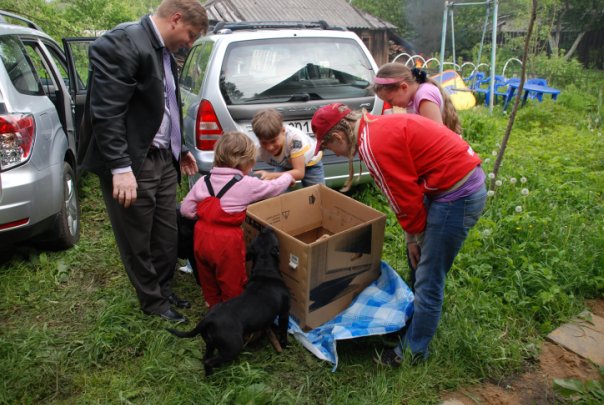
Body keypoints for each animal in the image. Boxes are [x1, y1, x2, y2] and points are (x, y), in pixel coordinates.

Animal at [165, 226, 288, 374]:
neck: (265, 267)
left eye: (260, 236)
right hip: (232, 347)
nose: (266, 227)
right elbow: (283, 328)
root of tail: (208, 319)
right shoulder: (284, 312)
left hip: (210, 343)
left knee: (205, 358)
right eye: (271, 235)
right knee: (209, 361)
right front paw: (284, 343)